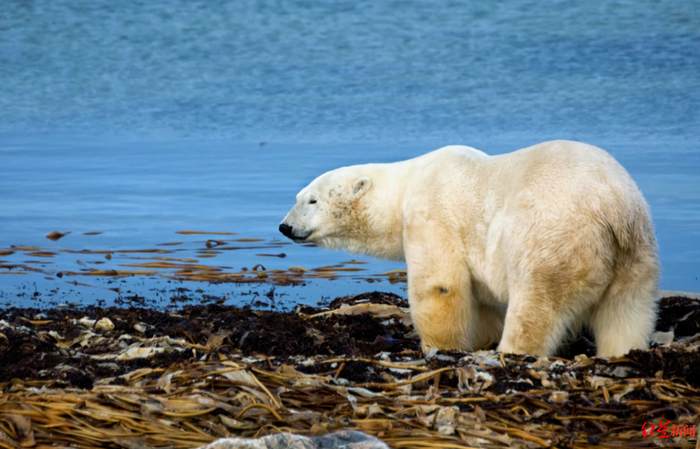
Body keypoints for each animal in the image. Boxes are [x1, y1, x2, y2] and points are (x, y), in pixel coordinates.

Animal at [279, 140, 660, 357]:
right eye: (298, 197)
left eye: (311, 200)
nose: (285, 227)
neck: (407, 183)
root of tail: (612, 207)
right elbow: (483, 299)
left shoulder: (432, 212)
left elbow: (441, 285)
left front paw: (439, 348)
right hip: (635, 252)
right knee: (626, 311)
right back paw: (623, 353)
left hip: (552, 237)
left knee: (537, 304)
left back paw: (511, 353)